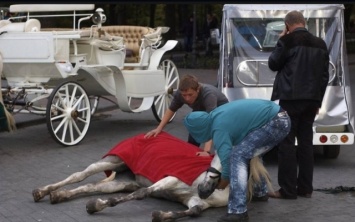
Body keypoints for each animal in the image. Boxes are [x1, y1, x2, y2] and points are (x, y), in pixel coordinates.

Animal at [32, 132, 272, 220]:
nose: (205, 190)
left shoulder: (195, 201)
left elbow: (194, 211)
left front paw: (161, 215)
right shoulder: (171, 178)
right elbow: (143, 194)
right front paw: (95, 206)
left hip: (123, 180)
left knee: (91, 187)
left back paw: (60, 195)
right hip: (112, 161)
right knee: (79, 176)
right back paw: (43, 191)